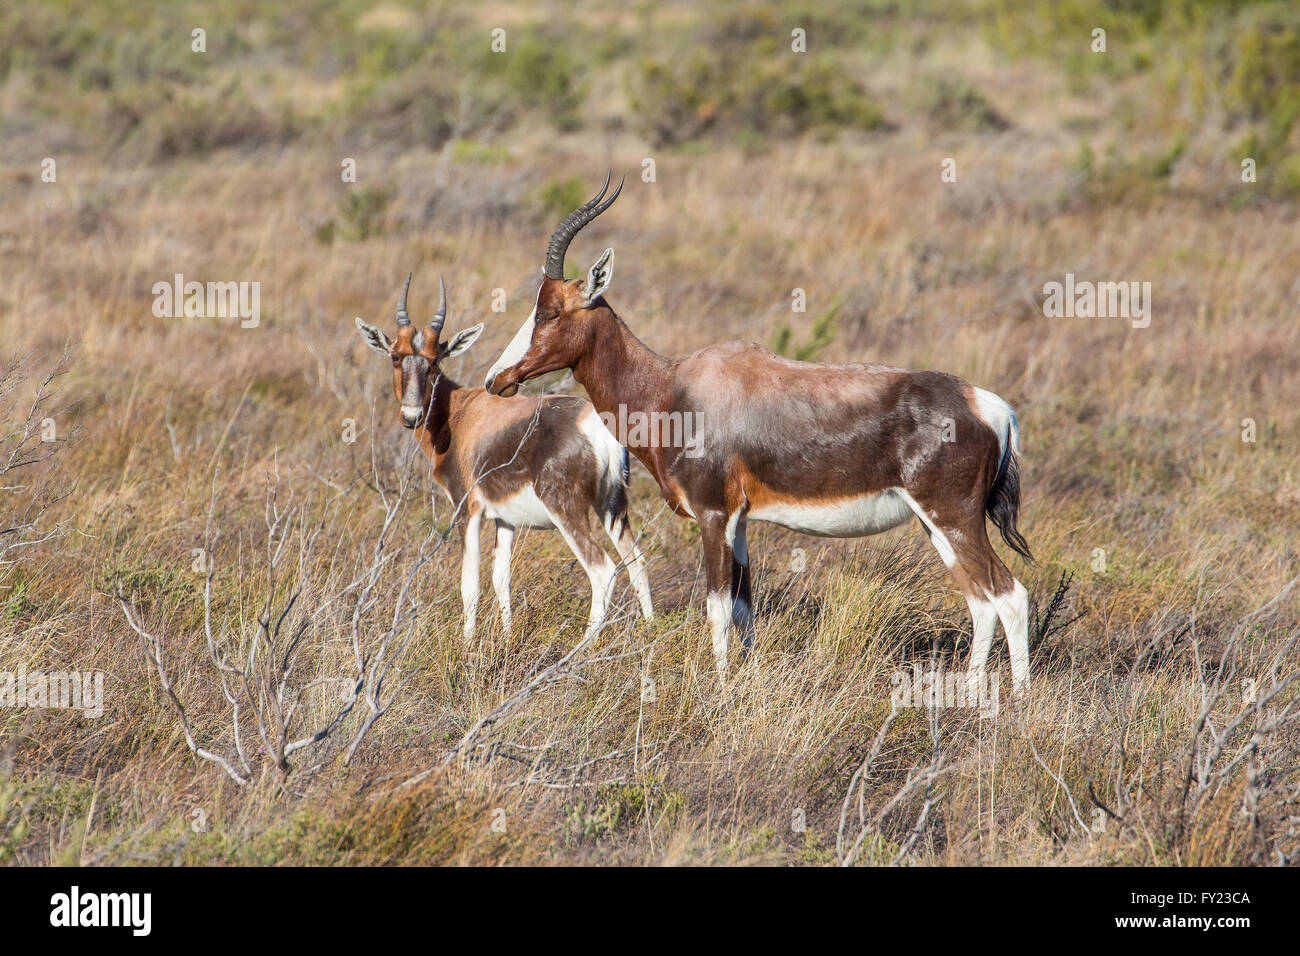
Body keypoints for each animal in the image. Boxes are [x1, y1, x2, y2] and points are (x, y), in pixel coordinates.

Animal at [356, 277, 655, 650]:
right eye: (396, 357)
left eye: (435, 362)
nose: (411, 417)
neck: (462, 412)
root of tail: (595, 425)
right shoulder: (505, 520)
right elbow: (502, 579)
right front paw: (508, 637)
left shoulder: (467, 511)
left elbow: (470, 584)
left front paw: (468, 648)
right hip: (612, 506)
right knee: (637, 562)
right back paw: (651, 632)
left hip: (567, 510)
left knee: (602, 570)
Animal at [488, 171, 1034, 697]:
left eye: (550, 311)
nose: (497, 379)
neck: (674, 385)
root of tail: (990, 407)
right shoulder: (742, 522)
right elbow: (743, 608)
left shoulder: (712, 515)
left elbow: (715, 607)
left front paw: (719, 690)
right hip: (936, 522)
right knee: (980, 600)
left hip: (954, 518)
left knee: (1009, 595)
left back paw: (1018, 703)